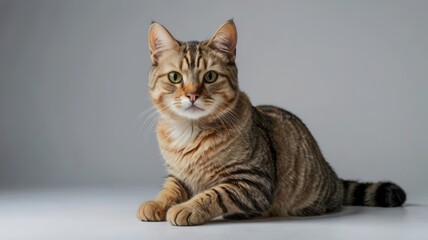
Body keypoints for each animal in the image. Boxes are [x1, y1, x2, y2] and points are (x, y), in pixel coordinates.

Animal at [136, 19, 404, 226]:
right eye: (175, 77)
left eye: (210, 76)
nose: (192, 95)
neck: (190, 132)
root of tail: (332, 176)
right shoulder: (177, 175)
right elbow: (170, 188)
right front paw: (157, 204)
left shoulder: (252, 181)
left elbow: (215, 194)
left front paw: (188, 207)